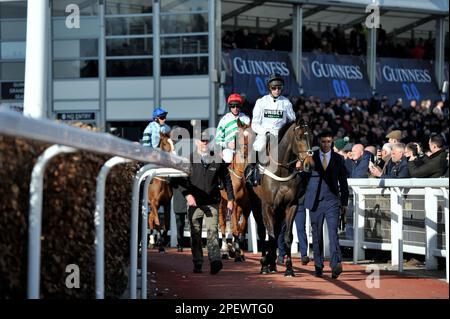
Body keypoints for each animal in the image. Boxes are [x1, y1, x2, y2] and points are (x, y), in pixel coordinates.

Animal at [246, 117, 312, 278]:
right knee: (262, 231)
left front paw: (289, 268)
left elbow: (287, 237)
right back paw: (265, 262)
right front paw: (265, 263)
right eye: (299, 137)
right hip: (256, 205)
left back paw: (272, 263)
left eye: (312, 136)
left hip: (279, 211)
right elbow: (270, 236)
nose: (309, 164)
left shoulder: (291, 206)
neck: (281, 171)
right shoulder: (268, 207)